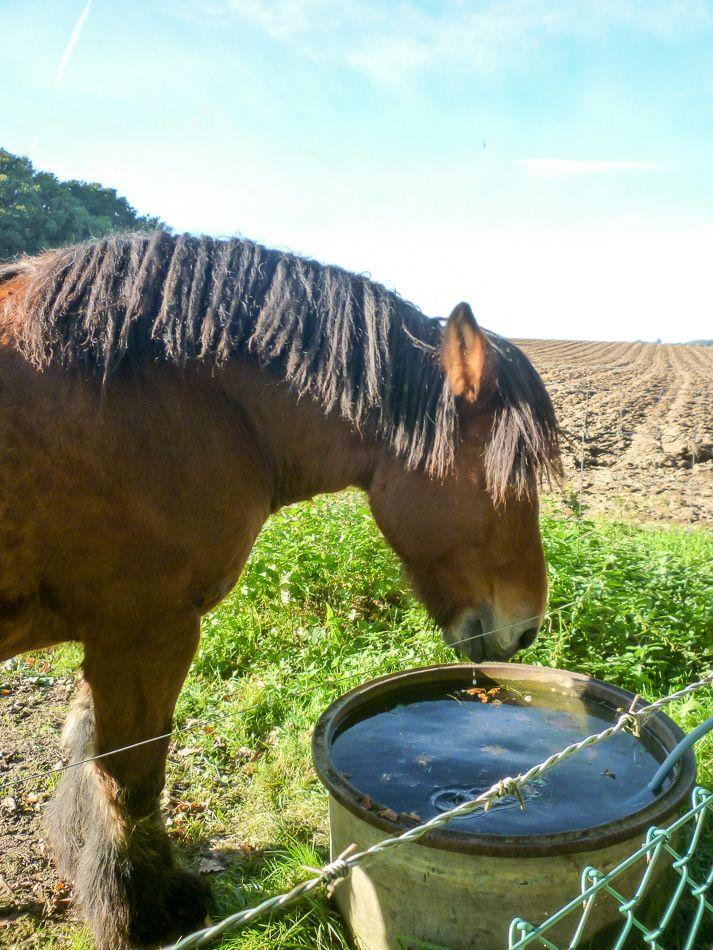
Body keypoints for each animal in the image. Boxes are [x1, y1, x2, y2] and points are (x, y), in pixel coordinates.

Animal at [0, 232, 556, 950]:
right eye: (511, 476)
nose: (527, 626)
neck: (182, 400)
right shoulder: (146, 631)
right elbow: (131, 777)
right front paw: (143, 911)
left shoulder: (115, 635)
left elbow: (86, 754)